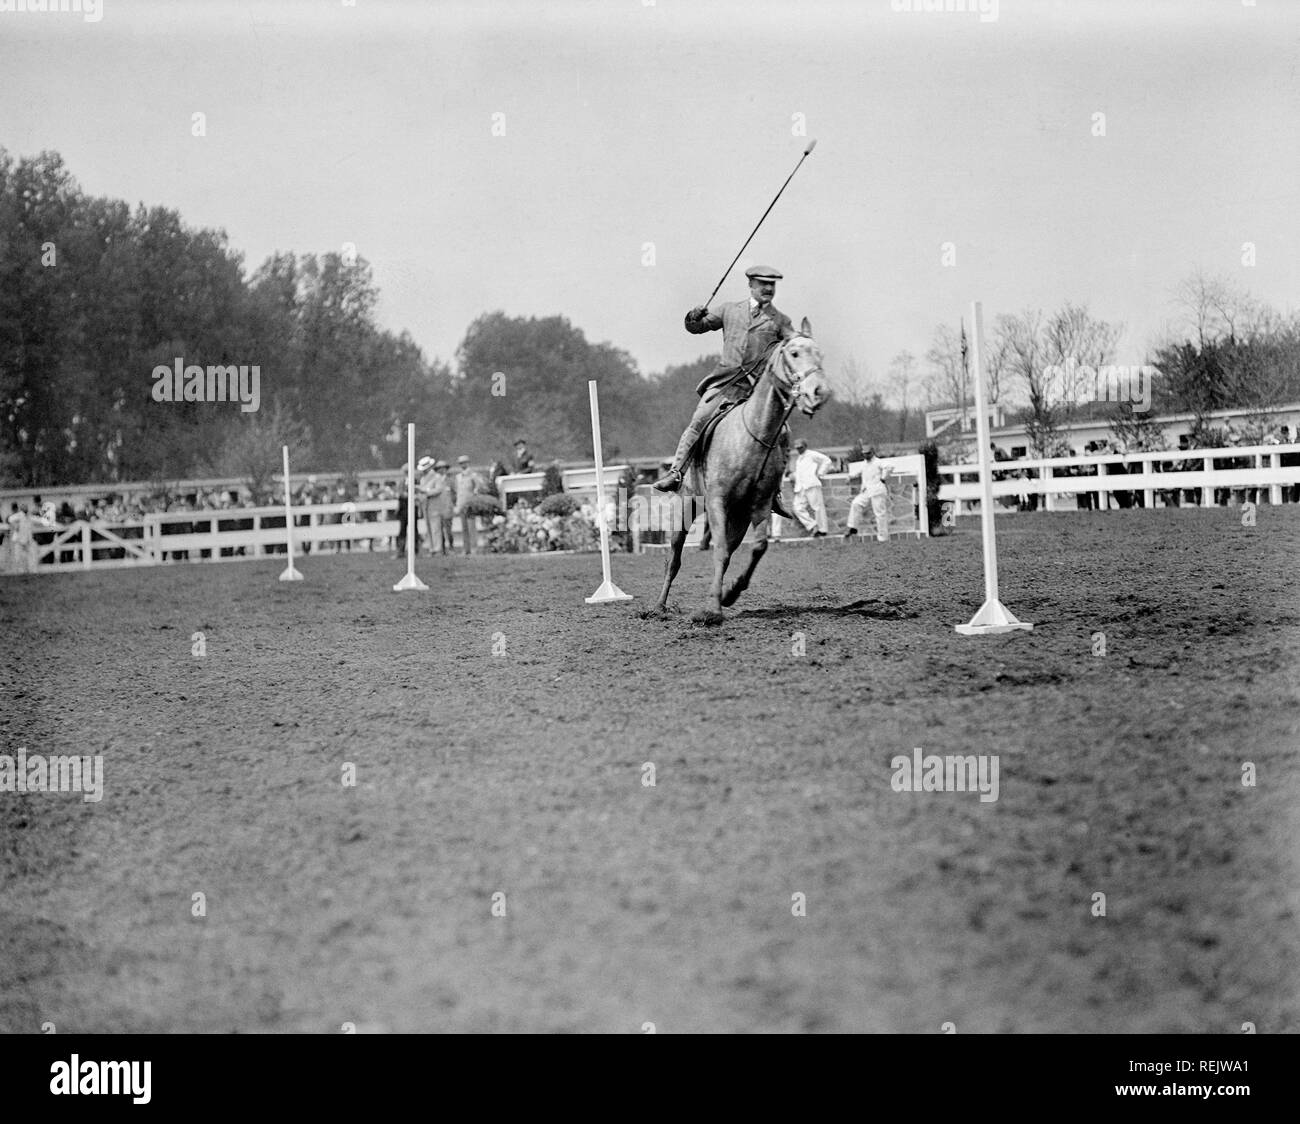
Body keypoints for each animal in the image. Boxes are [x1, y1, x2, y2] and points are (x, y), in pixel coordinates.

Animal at [655, 319, 826, 623]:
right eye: (794, 353)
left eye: (820, 355)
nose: (818, 391)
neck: (753, 434)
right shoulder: (717, 501)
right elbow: (719, 550)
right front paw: (712, 610)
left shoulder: (758, 506)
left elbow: (757, 547)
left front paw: (729, 594)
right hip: (686, 507)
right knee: (674, 558)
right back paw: (659, 607)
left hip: (738, 517)